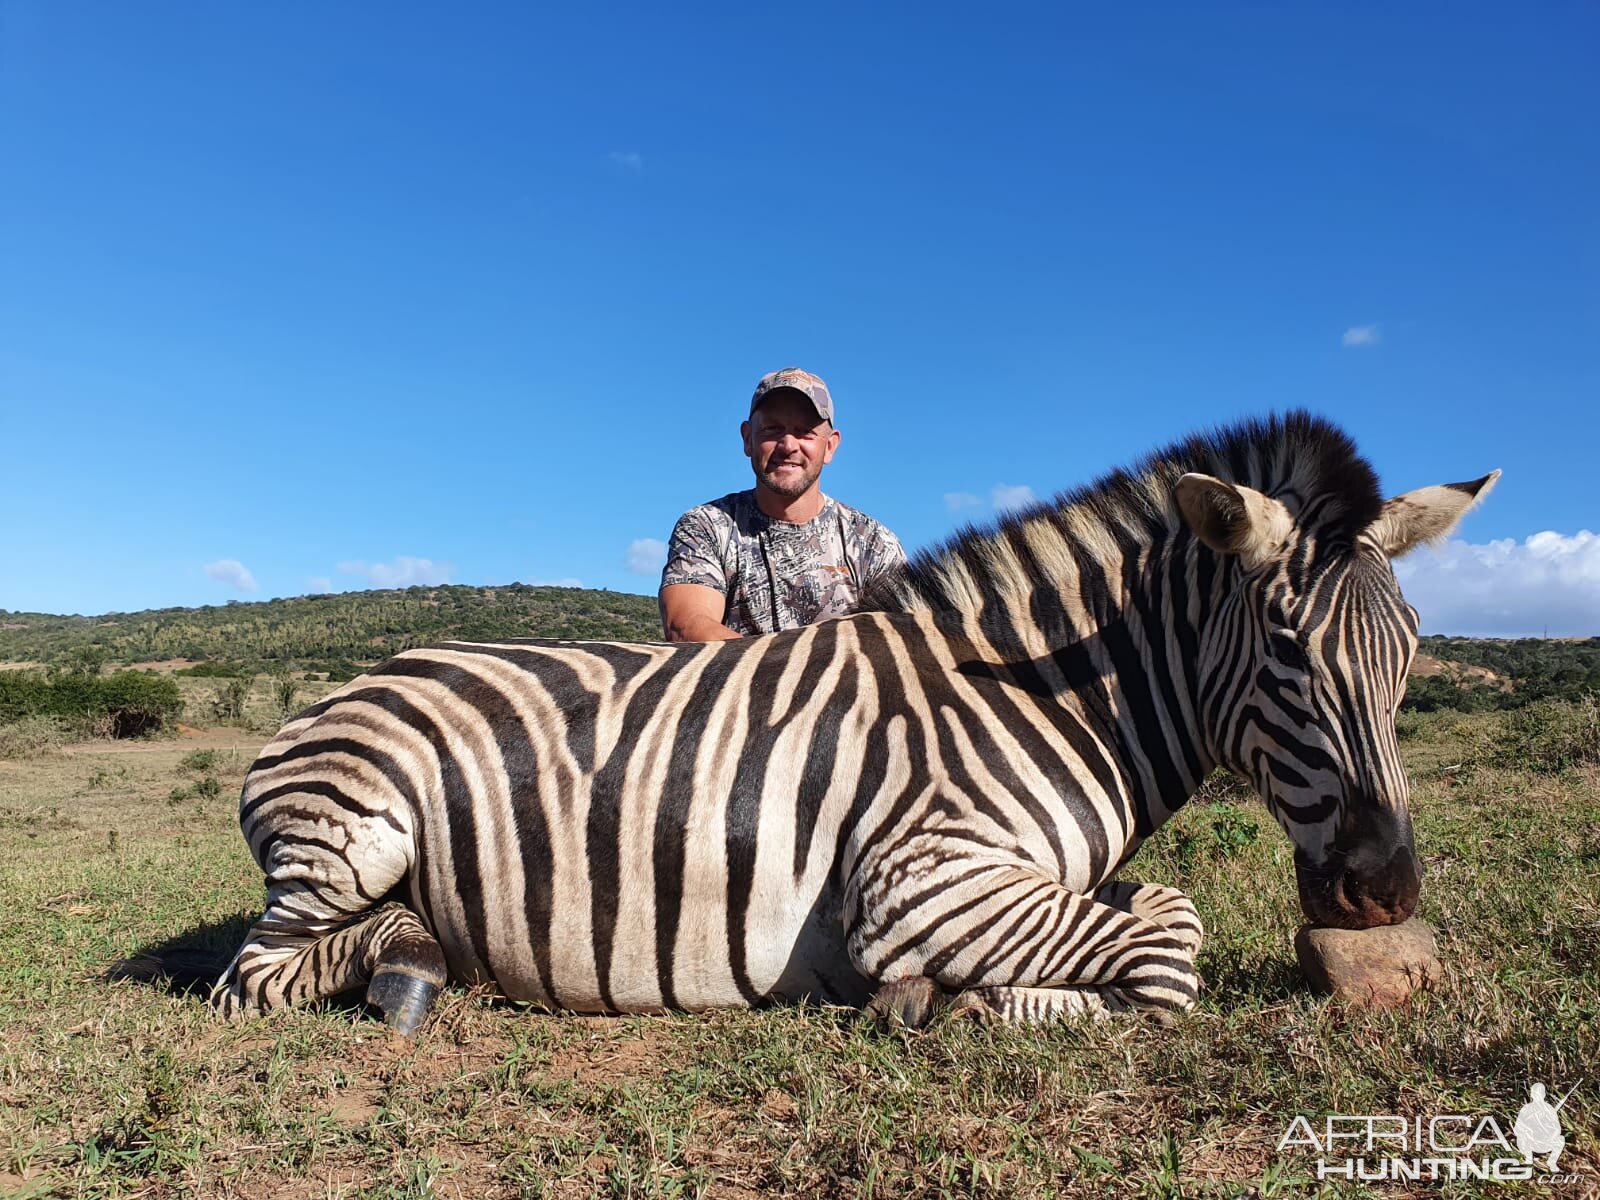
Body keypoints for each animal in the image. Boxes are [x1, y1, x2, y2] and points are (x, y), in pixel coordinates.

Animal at [212, 412, 1497, 1036]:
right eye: (1284, 648)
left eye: (1410, 651)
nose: (1385, 891)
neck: (1042, 695)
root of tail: (346, 686)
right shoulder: (916, 879)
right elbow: (1169, 952)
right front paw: (954, 1002)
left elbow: (1162, 911)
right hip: (352, 834)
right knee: (260, 975)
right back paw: (411, 962)